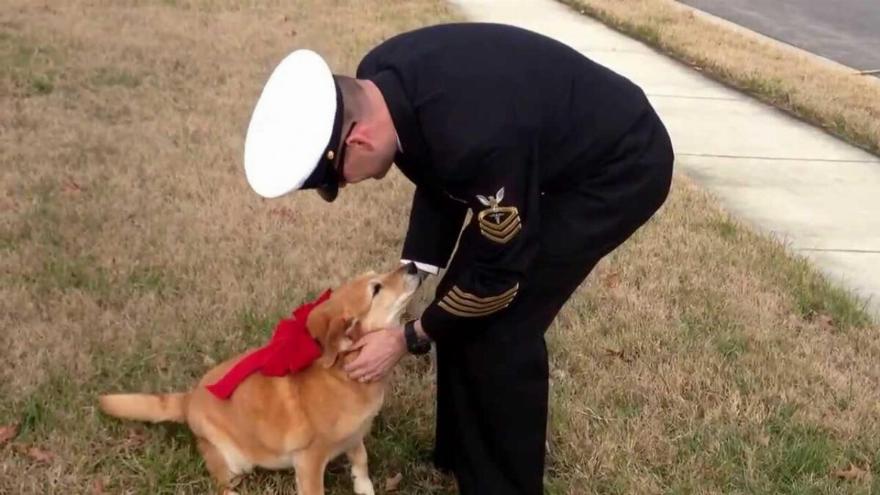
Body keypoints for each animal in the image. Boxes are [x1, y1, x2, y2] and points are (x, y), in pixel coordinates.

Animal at [99, 263, 422, 495]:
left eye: (376, 277)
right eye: (376, 288)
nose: (413, 265)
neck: (341, 374)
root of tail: (188, 399)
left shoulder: (354, 437)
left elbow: (362, 463)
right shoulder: (309, 460)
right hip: (234, 461)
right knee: (222, 483)